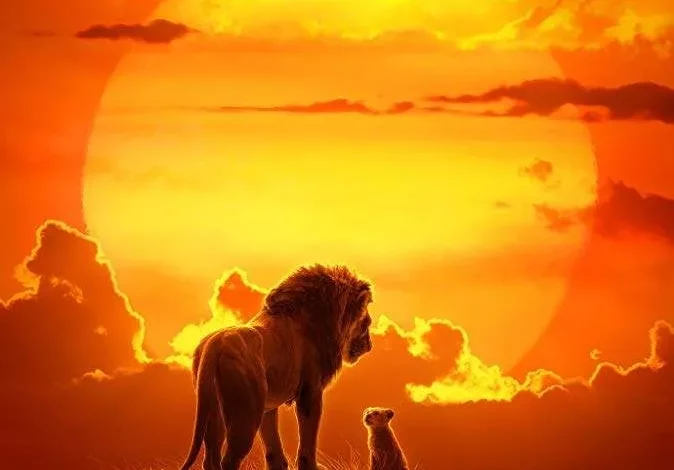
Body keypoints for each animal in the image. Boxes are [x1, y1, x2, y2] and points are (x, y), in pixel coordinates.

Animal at [180, 264, 374, 470]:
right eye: (367, 323)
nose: (370, 346)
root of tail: (215, 345)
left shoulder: (268, 405)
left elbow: (272, 444)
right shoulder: (310, 391)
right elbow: (308, 438)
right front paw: (311, 466)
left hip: (214, 411)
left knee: (210, 458)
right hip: (246, 414)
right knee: (229, 460)